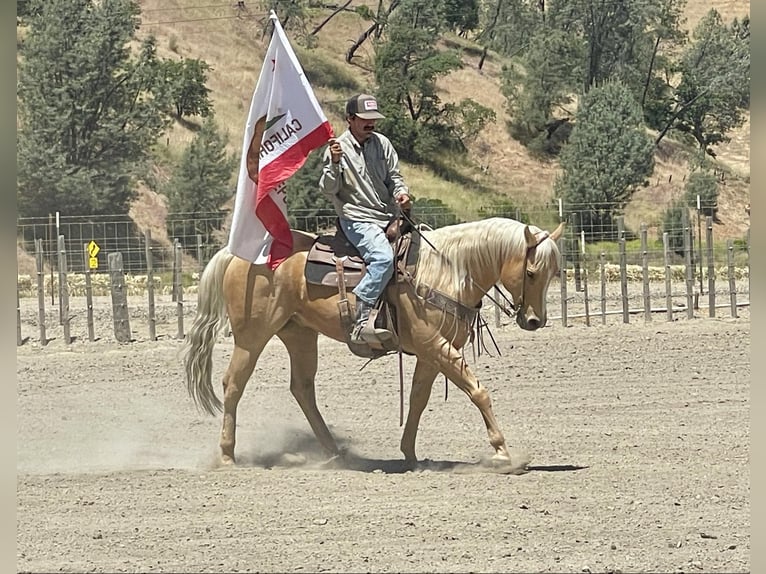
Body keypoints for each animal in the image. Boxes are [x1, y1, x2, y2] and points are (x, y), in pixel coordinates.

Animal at [182, 217, 564, 472]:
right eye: (531, 272)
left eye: (553, 273)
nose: (535, 321)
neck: (447, 270)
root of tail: (237, 254)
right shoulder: (435, 345)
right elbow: (478, 391)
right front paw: (503, 454)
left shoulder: (431, 353)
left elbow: (418, 399)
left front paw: (410, 454)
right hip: (252, 335)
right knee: (233, 384)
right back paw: (227, 456)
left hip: (300, 334)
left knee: (302, 388)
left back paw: (334, 453)